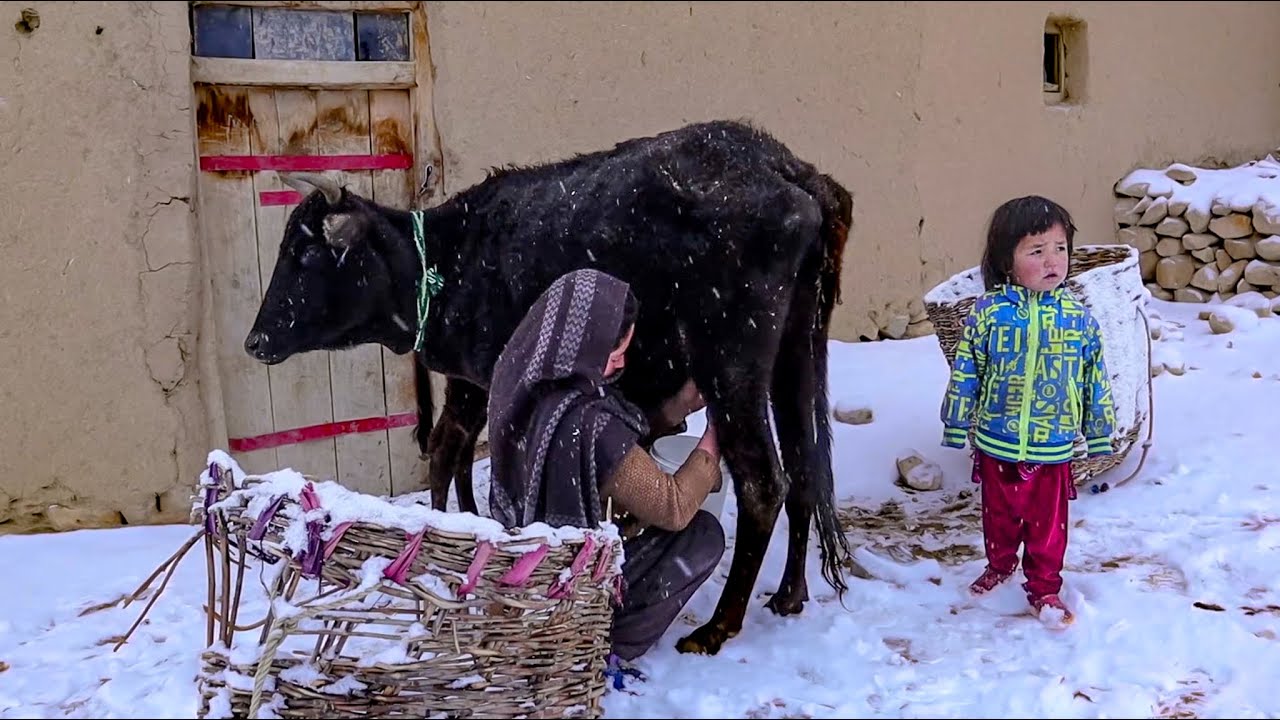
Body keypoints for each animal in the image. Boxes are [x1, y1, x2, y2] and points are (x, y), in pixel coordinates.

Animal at [241, 120, 860, 653]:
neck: (448, 260)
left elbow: (451, 449)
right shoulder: (471, 380)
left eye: (305, 252)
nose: (255, 340)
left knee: (764, 481)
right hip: (796, 356)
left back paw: (718, 627)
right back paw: (790, 594)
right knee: (806, 467)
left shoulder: (487, 375)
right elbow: (454, 450)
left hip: (731, 364)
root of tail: (789, 170)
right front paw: (467, 524)